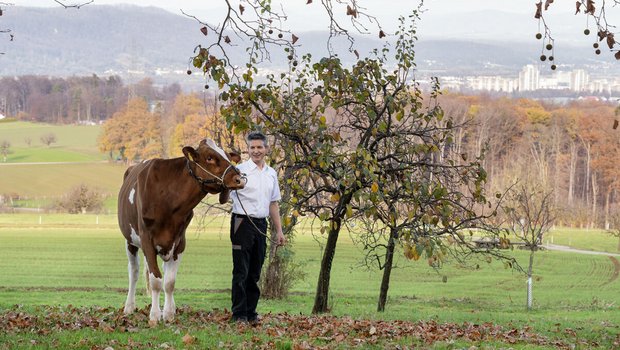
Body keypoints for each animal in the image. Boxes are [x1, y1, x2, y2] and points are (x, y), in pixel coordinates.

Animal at [118, 138, 245, 324]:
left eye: (228, 156)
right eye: (209, 158)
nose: (240, 179)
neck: (169, 201)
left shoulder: (179, 242)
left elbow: (169, 282)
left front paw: (169, 314)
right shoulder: (147, 240)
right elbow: (155, 280)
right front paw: (154, 316)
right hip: (130, 241)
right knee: (133, 272)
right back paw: (128, 307)